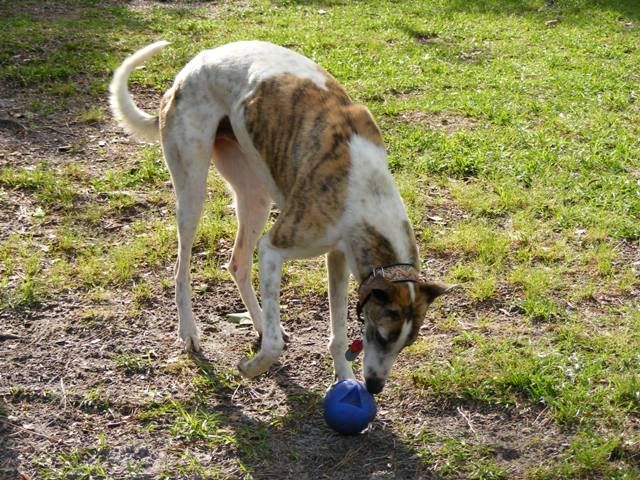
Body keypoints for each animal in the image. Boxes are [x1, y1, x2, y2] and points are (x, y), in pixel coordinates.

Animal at [109, 40, 450, 394]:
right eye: (381, 335)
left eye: (406, 344)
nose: (374, 387)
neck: (367, 189)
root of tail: (185, 72)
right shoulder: (274, 248)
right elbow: (273, 345)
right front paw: (251, 368)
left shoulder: (339, 257)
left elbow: (338, 333)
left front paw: (343, 376)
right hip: (192, 192)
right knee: (181, 269)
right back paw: (189, 332)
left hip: (254, 195)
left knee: (237, 263)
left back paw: (259, 323)